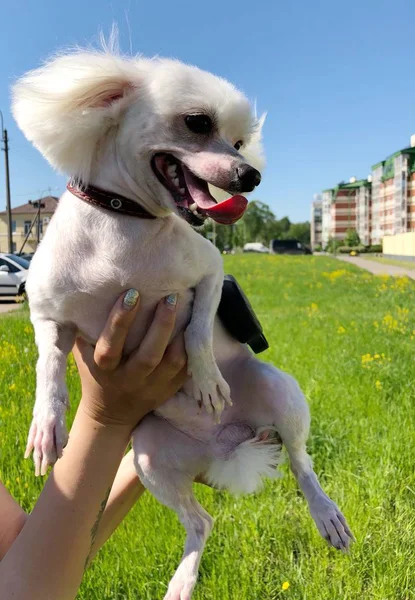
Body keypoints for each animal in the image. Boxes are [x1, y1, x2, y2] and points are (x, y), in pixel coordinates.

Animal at [11, 45, 352, 600]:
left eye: (239, 142)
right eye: (197, 122)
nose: (250, 176)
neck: (125, 225)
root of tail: (224, 448)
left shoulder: (211, 272)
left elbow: (195, 332)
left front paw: (207, 380)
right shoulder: (48, 316)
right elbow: (49, 369)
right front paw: (46, 427)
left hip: (280, 392)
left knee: (303, 464)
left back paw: (325, 514)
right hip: (149, 455)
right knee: (201, 522)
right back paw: (183, 580)